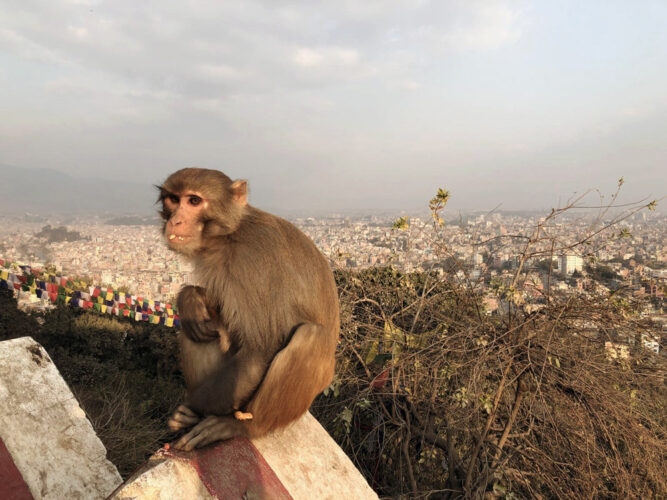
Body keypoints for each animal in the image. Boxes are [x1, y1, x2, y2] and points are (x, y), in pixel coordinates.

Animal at [160, 167, 342, 450]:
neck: (229, 235)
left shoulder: (253, 264)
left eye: (194, 201)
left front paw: (189, 410)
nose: (176, 221)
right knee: (198, 330)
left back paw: (241, 426)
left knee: (309, 337)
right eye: (173, 199)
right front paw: (190, 299)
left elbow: (261, 348)